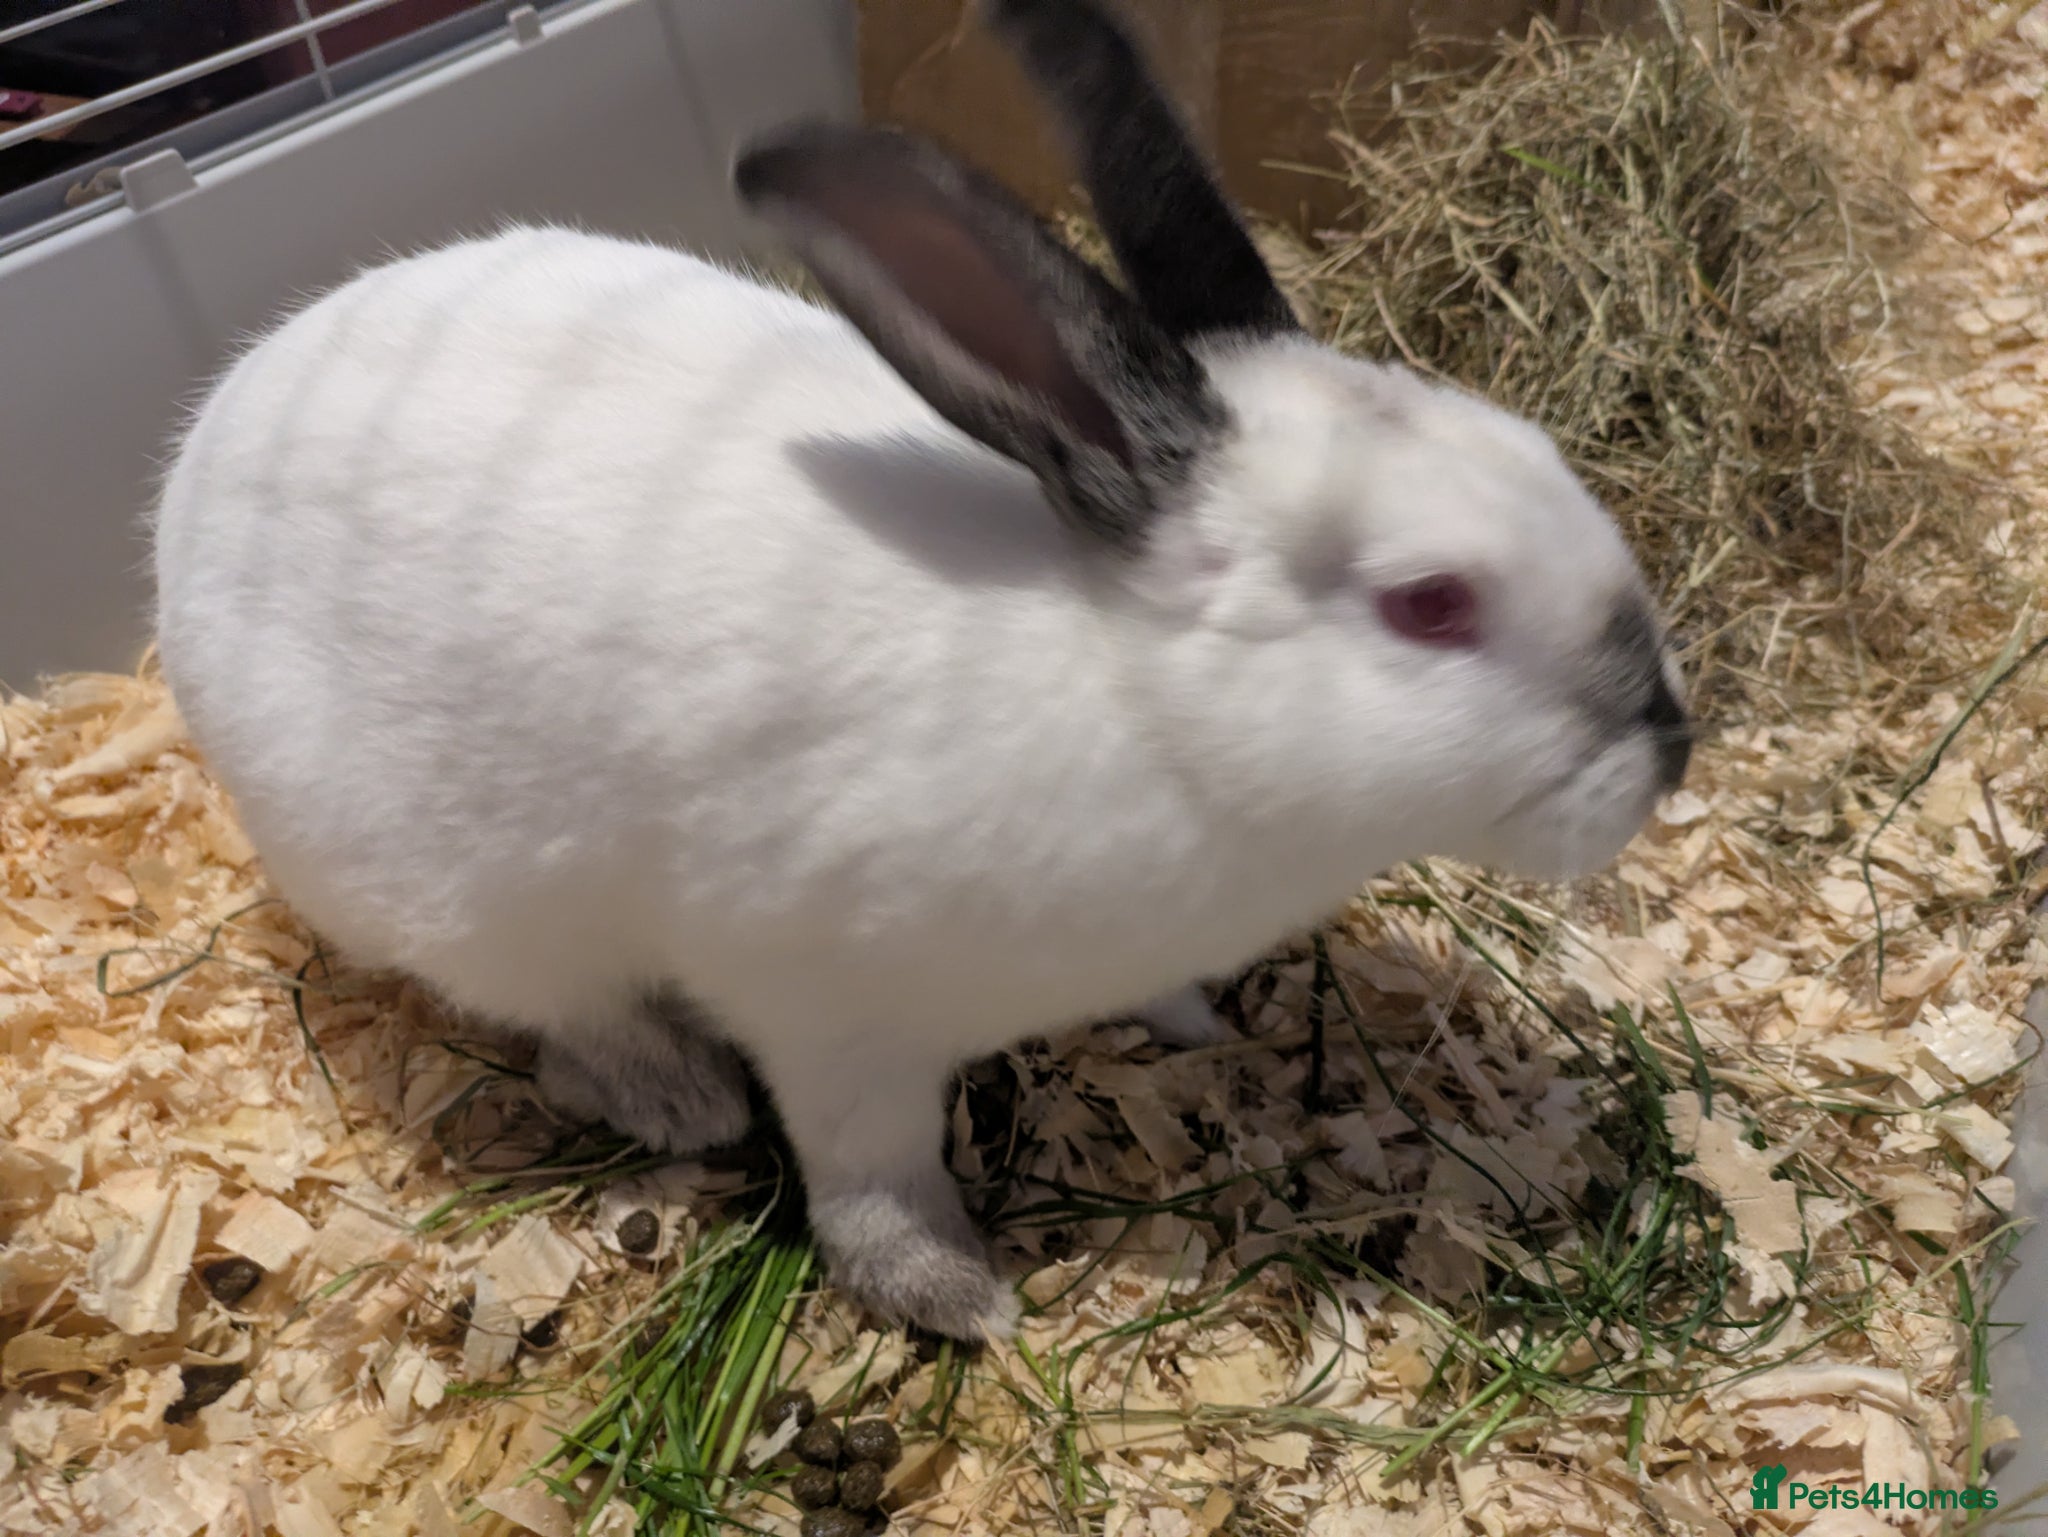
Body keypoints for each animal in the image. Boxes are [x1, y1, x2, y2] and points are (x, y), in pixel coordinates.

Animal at [151, 0, 1692, 1342]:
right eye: (1430, 604)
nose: (1669, 753)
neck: (1141, 705)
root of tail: (209, 449)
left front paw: (1189, 1025)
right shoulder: (831, 1014)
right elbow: (871, 1168)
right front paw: (955, 1297)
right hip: (458, 896)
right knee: (560, 1012)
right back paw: (677, 1097)